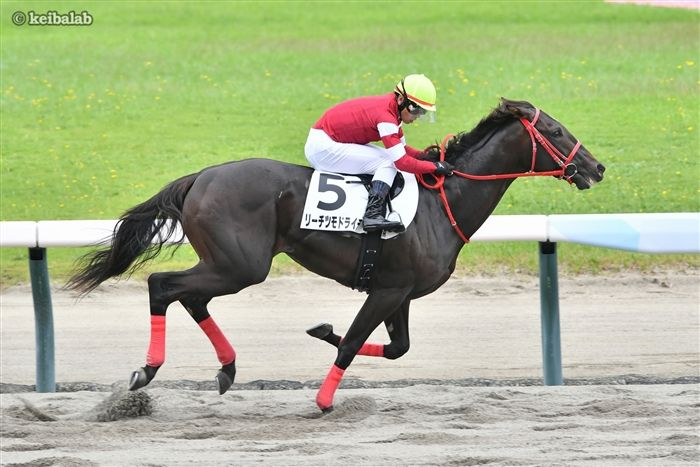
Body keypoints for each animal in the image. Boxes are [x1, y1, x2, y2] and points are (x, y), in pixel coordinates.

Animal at [68, 98, 605, 412]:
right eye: (556, 131)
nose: (596, 167)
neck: (441, 203)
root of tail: (200, 176)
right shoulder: (387, 290)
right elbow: (354, 346)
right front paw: (325, 399)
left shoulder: (399, 291)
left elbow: (394, 346)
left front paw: (324, 330)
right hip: (241, 266)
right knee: (164, 286)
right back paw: (147, 370)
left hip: (227, 265)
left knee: (192, 298)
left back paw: (227, 368)